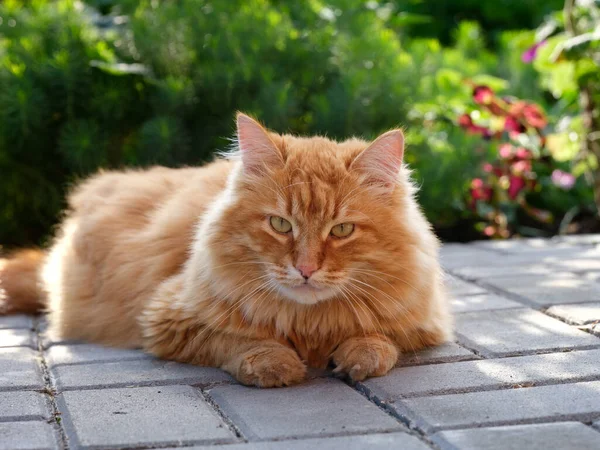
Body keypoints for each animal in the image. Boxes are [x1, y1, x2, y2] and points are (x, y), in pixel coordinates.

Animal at [0, 112, 452, 386]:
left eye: (341, 230)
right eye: (280, 224)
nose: (305, 269)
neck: (310, 324)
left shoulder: (419, 322)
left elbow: (379, 339)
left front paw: (359, 354)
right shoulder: (169, 316)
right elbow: (238, 339)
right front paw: (275, 364)